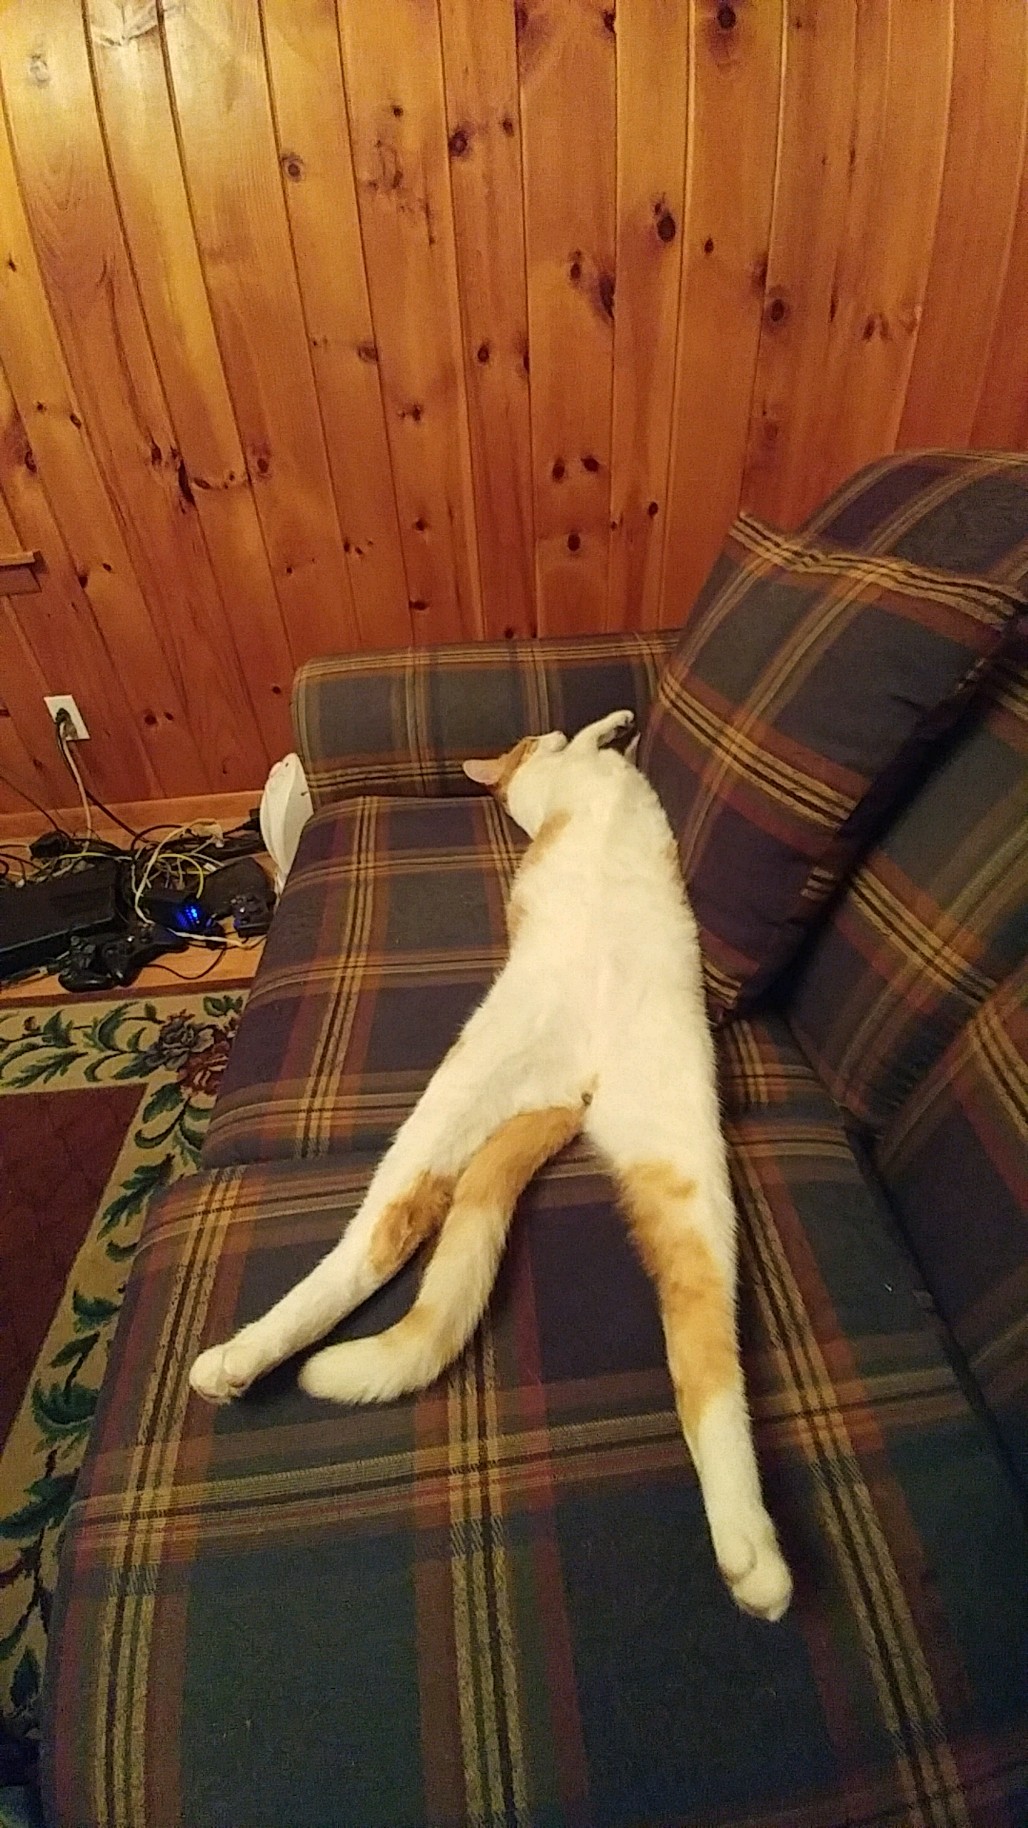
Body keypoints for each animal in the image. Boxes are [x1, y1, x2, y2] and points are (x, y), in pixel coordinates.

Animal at [190, 710, 792, 1621]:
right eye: (519, 742)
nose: (536, 737)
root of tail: (575, 1089)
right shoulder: (550, 781)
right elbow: (580, 750)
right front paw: (607, 727)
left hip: (680, 1162)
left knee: (702, 1339)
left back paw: (752, 1554)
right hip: (490, 1096)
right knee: (378, 1242)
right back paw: (238, 1360)